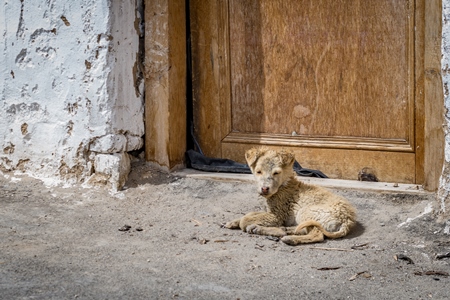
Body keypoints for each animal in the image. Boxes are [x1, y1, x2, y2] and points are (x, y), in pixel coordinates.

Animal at [223, 146, 356, 245]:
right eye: (258, 172)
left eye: (276, 173)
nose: (264, 189)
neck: (283, 185)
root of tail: (347, 220)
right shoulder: (268, 211)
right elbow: (249, 214)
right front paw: (233, 222)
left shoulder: (277, 215)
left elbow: (245, 219)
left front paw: (241, 223)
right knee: (302, 229)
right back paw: (278, 230)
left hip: (306, 212)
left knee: (317, 235)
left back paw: (288, 238)